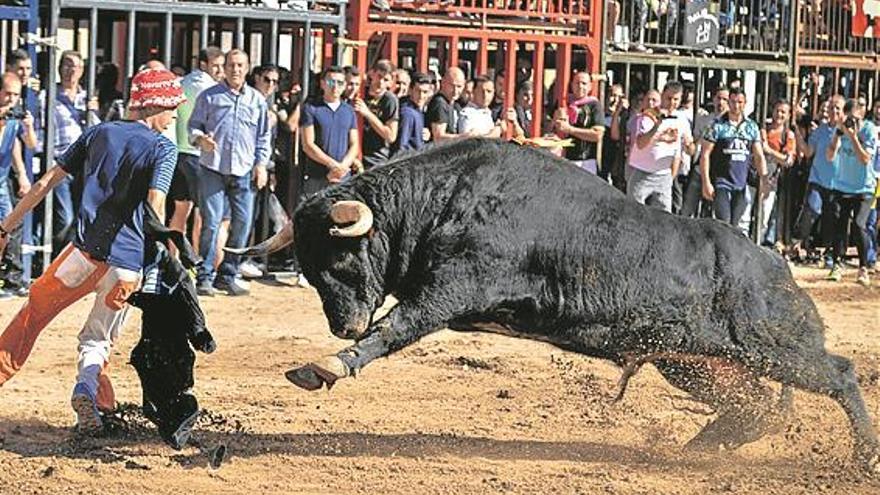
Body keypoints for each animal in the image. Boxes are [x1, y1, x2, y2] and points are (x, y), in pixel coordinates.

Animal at [232, 138, 880, 470]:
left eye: (342, 260)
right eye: (309, 270)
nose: (343, 326)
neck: (444, 196)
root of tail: (776, 266)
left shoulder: (450, 290)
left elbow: (394, 329)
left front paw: (325, 366)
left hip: (773, 347)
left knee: (840, 376)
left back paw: (863, 458)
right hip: (694, 363)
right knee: (756, 409)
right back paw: (699, 449)